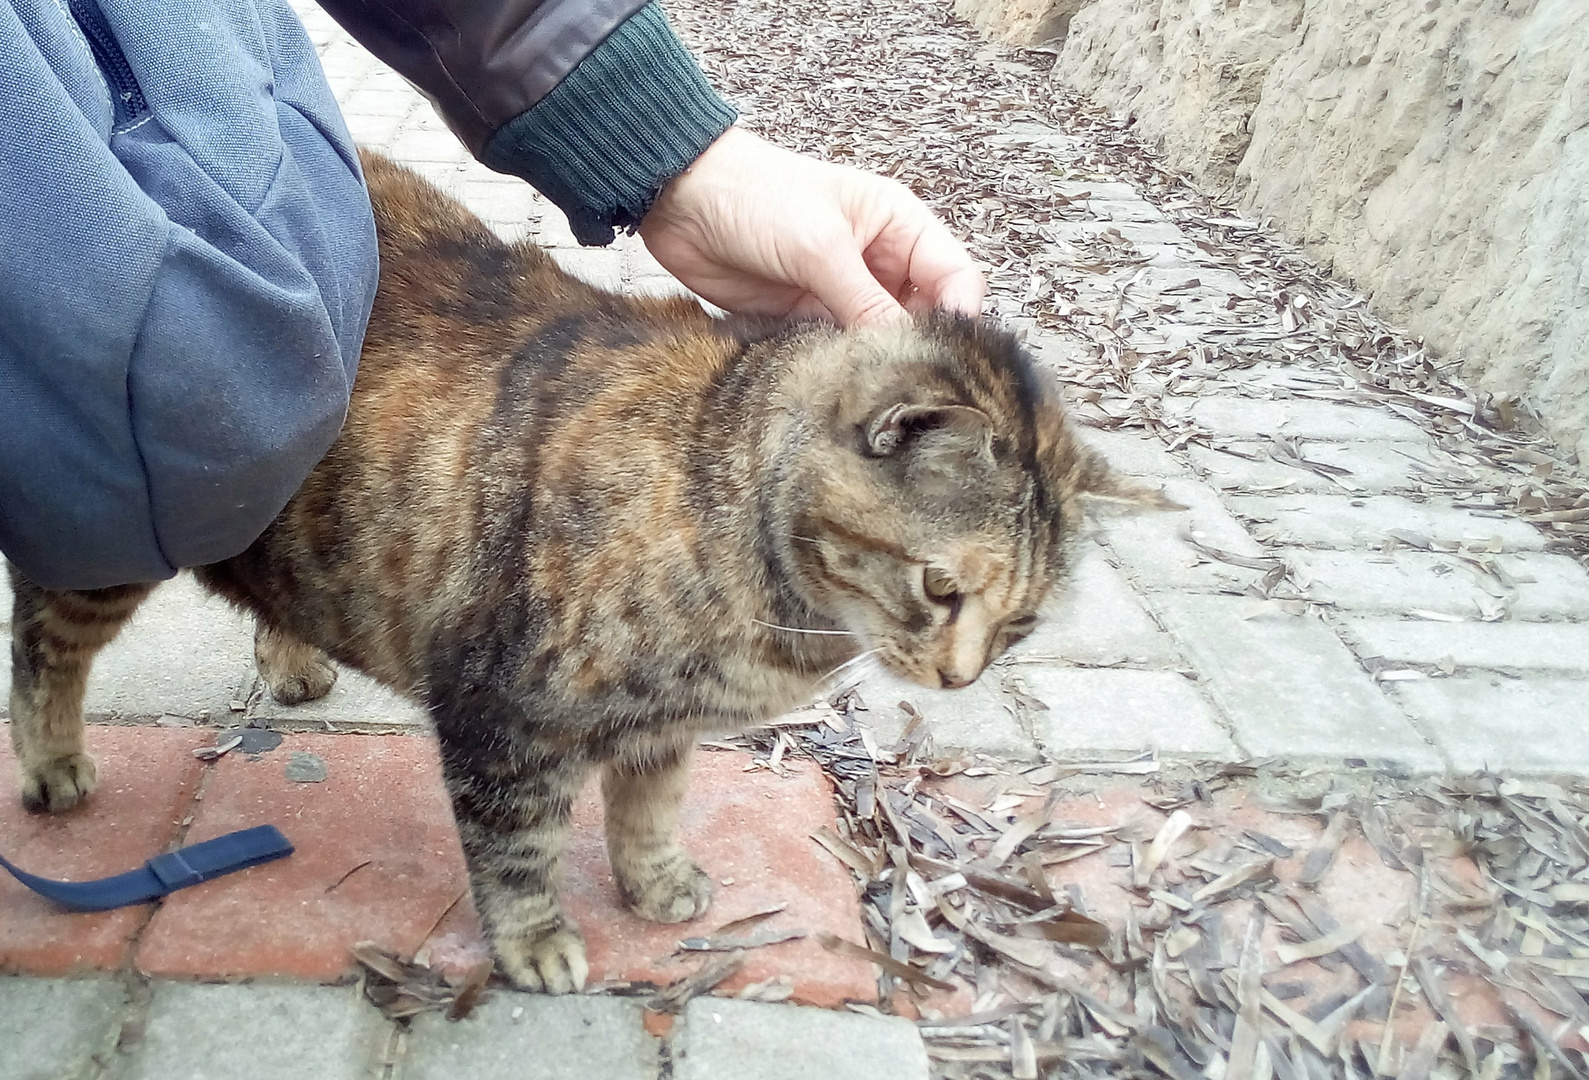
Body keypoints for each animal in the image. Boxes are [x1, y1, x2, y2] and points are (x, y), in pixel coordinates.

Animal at [9, 147, 1156, 991]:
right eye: (940, 587)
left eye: (1019, 626)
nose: (962, 678)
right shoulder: (503, 713)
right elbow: (516, 847)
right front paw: (533, 941)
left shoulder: (660, 728)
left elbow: (647, 814)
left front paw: (655, 884)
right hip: (127, 514)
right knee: (44, 640)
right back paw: (52, 761)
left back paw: (289, 658)